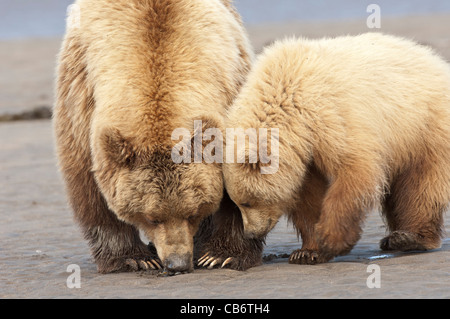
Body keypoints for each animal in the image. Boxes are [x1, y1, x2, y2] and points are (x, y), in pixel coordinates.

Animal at [54, 0, 262, 276]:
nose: (178, 263)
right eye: (151, 217)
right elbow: (88, 186)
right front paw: (132, 258)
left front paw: (222, 255)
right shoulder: (81, 100)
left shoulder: (230, 84)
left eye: (192, 212)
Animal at [224, 33, 450, 266]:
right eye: (236, 202)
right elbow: (309, 196)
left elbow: (355, 172)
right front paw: (307, 251)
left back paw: (411, 237)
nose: (250, 233)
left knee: (420, 186)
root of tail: (437, 61)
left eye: (247, 202)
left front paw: (329, 239)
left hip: (423, 127)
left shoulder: (331, 117)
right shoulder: (306, 153)